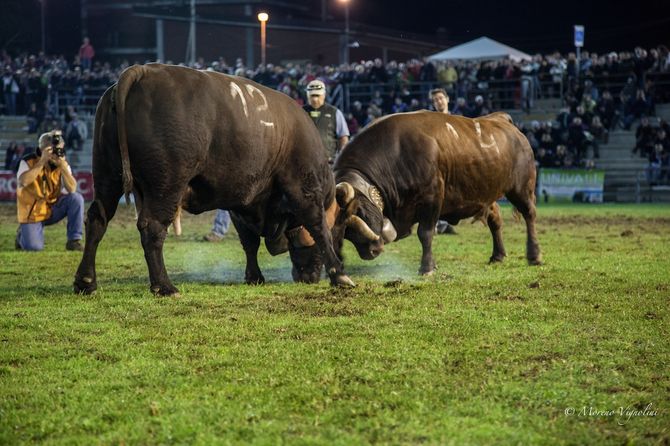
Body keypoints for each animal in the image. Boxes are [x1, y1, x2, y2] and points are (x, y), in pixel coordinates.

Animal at [75, 61, 356, 292]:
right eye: (339, 233)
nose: (309, 278)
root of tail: (140, 72)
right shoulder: (303, 189)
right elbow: (318, 227)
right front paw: (339, 274)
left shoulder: (242, 202)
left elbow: (249, 242)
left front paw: (254, 276)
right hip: (166, 186)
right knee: (152, 227)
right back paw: (164, 286)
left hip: (108, 177)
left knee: (97, 219)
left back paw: (86, 281)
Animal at [334, 110, 544, 274]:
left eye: (358, 210)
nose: (369, 252)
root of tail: (500, 119)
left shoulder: (432, 198)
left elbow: (425, 233)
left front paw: (427, 267)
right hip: (487, 193)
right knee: (495, 219)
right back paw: (497, 255)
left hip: (521, 189)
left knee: (530, 215)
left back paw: (534, 255)